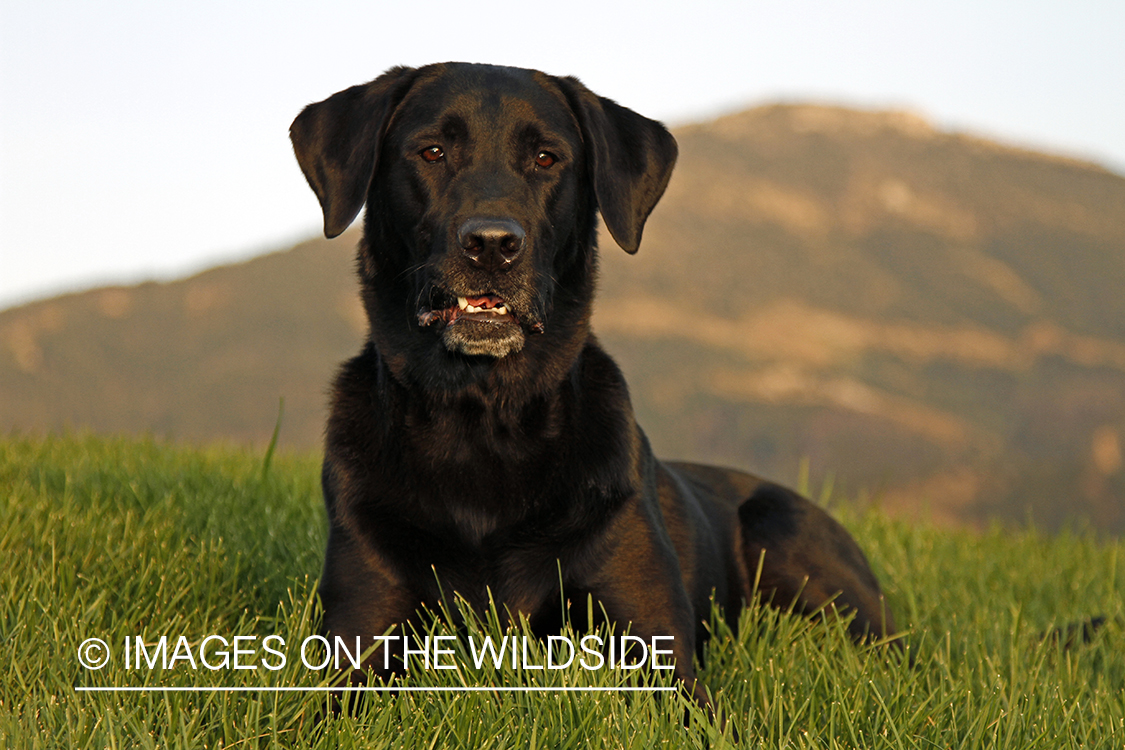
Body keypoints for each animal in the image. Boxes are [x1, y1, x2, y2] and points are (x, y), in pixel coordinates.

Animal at [290, 61, 895, 706]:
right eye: (432, 152)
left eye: (547, 158)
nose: (492, 245)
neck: (481, 417)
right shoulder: (362, 636)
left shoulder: (660, 651)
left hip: (783, 533)